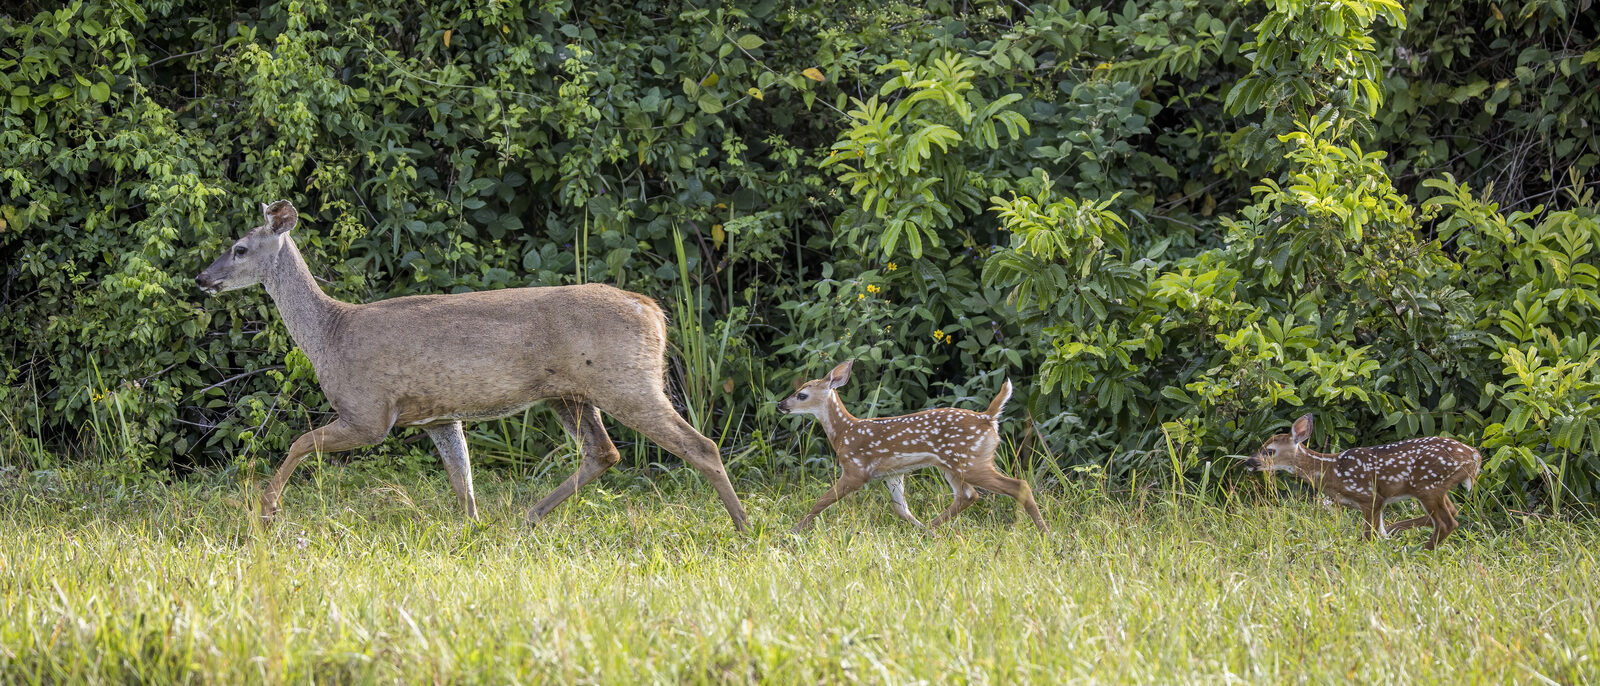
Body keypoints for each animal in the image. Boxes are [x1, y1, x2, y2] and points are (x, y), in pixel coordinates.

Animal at [194, 199, 749, 531]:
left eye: (239, 248)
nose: (202, 278)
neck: (330, 333)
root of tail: (652, 309)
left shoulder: (369, 413)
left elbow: (299, 442)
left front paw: (266, 510)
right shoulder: (438, 415)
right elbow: (463, 480)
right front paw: (472, 529)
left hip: (625, 382)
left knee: (700, 445)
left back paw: (744, 527)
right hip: (570, 393)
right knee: (603, 452)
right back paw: (526, 518)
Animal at [776, 360, 1048, 533]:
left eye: (802, 395)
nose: (780, 405)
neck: (844, 432)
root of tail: (988, 418)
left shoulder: (856, 470)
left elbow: (822, 501)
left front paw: (792, 530)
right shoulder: (892, 474)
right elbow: (901, 510)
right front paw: (920, 529)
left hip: (970, 460)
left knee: (1018, 485)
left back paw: (1046, 533)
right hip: (953, 465)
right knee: (968, 495)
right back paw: (929, 530)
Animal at [1242, 413, 1481, 549]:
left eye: (1269, 451)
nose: (1248, 462)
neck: (1331, 471)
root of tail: (1474, 457)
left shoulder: (1369, 496)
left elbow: (1369, 535)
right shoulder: (1377, 501)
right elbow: (1377, 532)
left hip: (1428, 485)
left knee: (1447, 522)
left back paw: (1421, 550)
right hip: (1437, 488)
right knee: (1452, 512)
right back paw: (1398, 531)